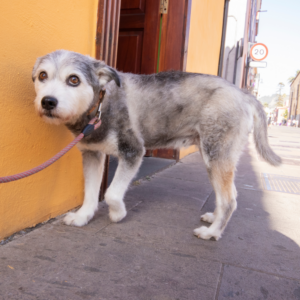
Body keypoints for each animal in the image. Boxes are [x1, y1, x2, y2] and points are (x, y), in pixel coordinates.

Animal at [31, 50, 280, 240]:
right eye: (42, 75)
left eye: (74, 79)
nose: (48, 102)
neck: (101, 106)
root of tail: (243, 94)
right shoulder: (92, 154)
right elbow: (91, 193)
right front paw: (83, 217)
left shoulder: (133, 151)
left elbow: (111, 194)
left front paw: (118, 214)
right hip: (215, 157)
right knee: (227, 194)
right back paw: (213, 219)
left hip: (217, 155)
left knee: (230, 200)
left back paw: (211, 233)